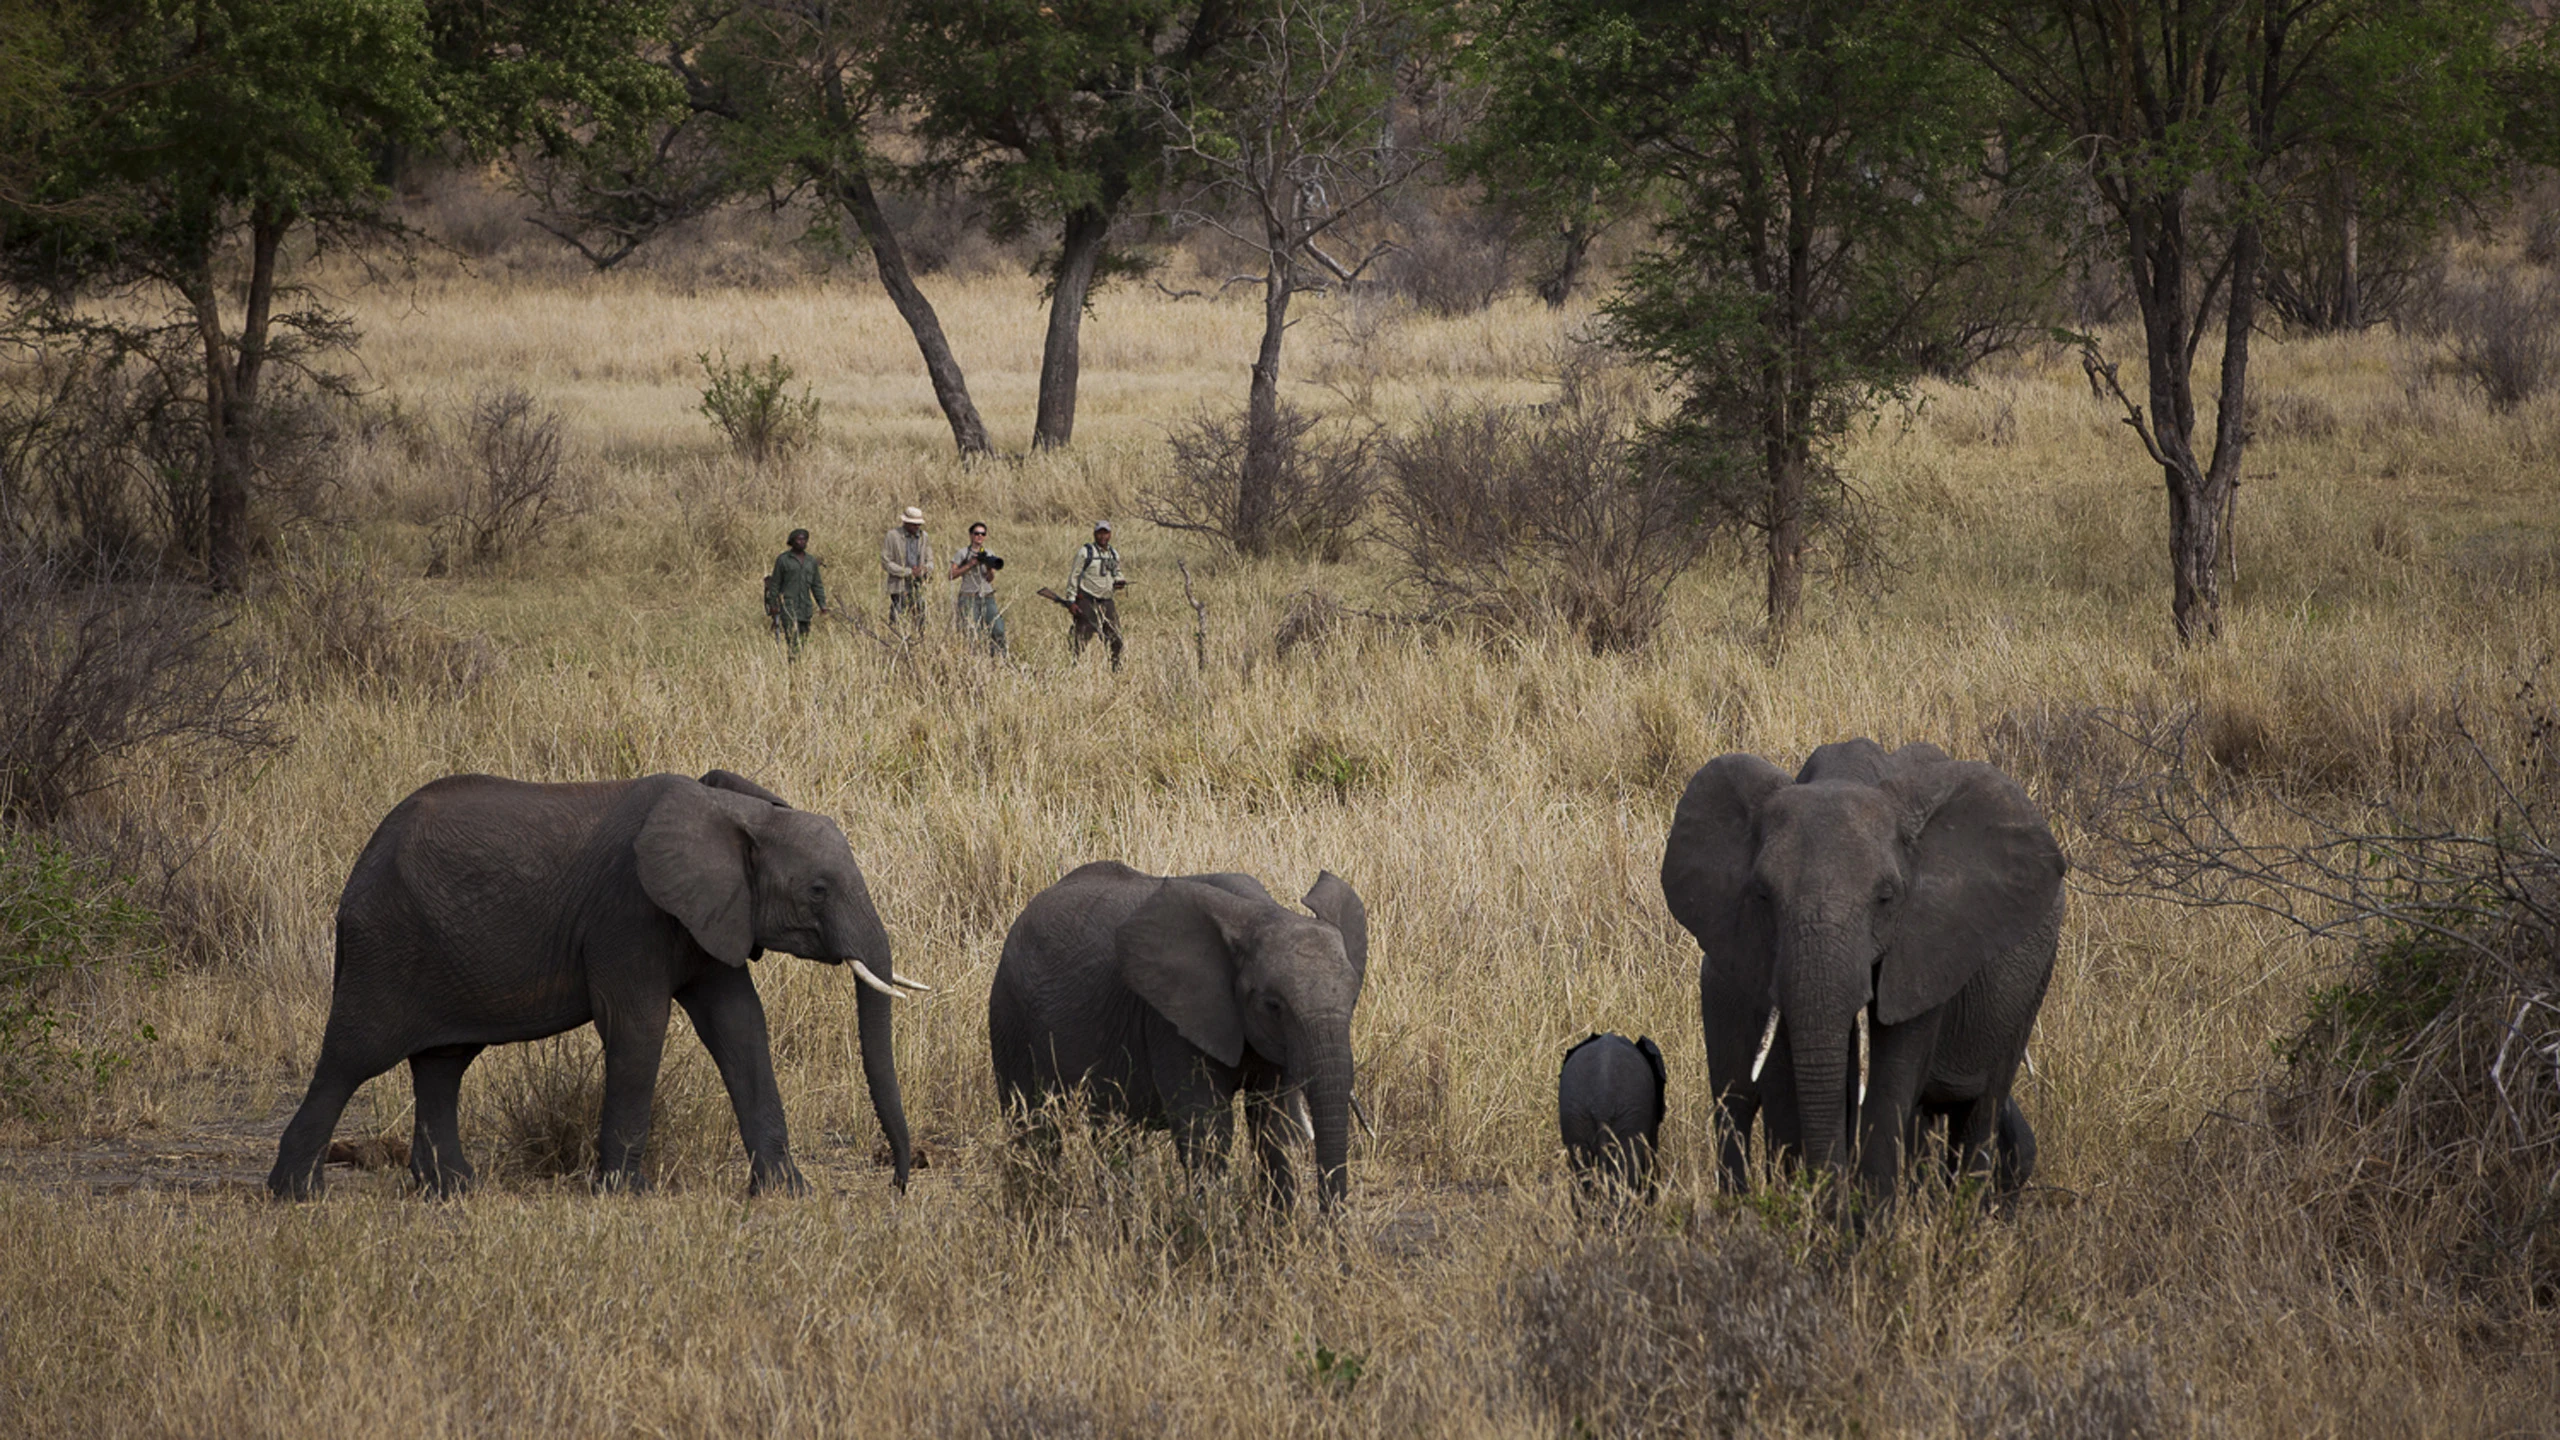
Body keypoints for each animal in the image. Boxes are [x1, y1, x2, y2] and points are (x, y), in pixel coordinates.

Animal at [267, 769, 924, 1200]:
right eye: (818, 890)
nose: (898, 1181)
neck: (737, 813)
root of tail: (361, 864)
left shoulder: (712, 915)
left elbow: (739, 1027)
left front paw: (787, 1193)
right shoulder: (627, 912)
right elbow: (638, 1026)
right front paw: (627, 1194)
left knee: (442, 1063)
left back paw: (453, 1191)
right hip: (385, 942)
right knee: (352, 1056)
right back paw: (297, 1194)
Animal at [987, 862, 1368, 1210]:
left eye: (1352, 1000)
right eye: (1273, 1006)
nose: (1332, 1229)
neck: (1260, 914)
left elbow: (1273, 1129)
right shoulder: (1170, 1021)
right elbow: (1209, 1131)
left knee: (1109, 1132)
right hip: (1009, 1014)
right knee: (1033, 1127)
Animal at [1660, 739, 2062, 1201]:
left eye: (1886, 897)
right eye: (1762, 895)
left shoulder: (1923, 949)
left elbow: (1889, 1082)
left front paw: (1868, 1218)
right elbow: (1789, 1075)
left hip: (2034, 982)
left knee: (1984, 1105)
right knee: (1736, 1103)